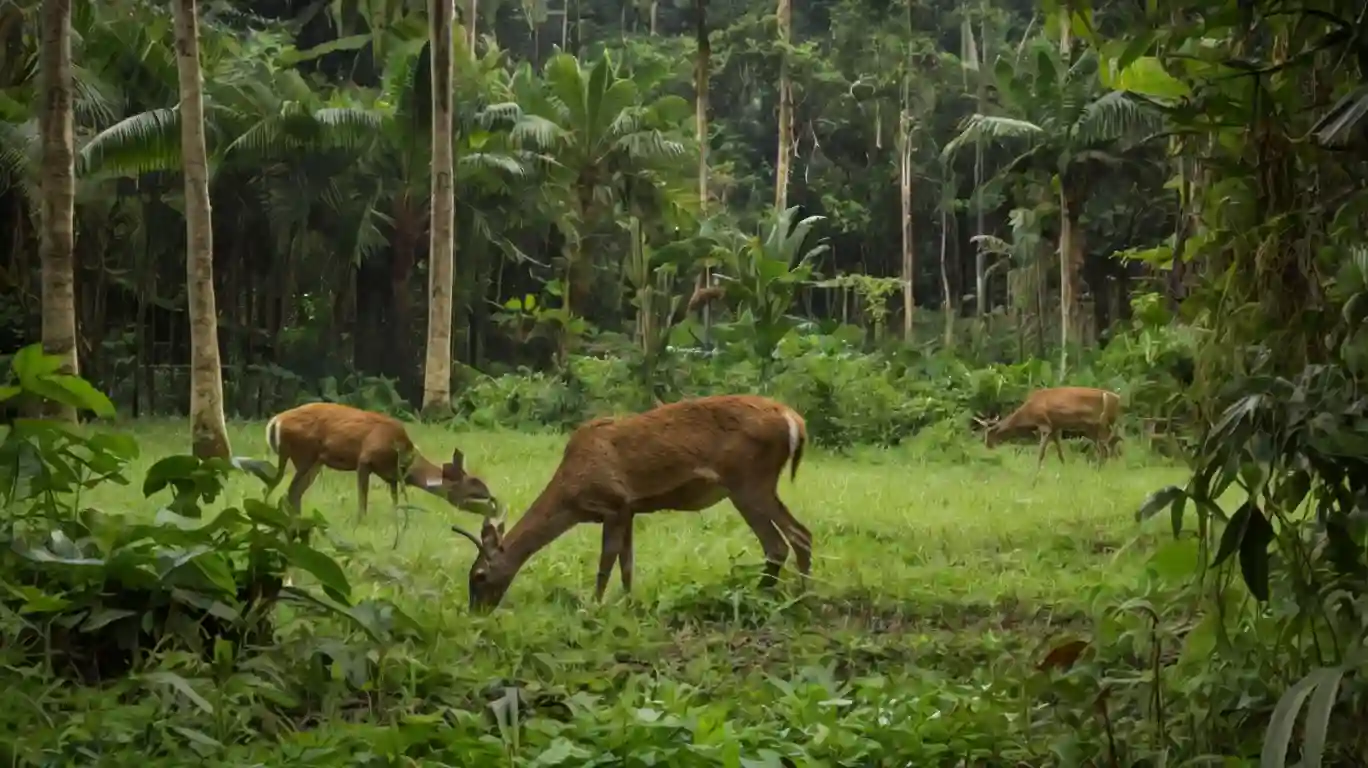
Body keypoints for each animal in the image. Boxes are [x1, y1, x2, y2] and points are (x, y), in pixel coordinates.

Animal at [264, 402, 500, 520]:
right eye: (473, 486)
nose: (495, 506)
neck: (402, 457)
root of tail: (276, 421)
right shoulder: (365, 459)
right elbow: (363, 499)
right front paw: (362, 522)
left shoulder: (392, 477)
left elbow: (395, 502)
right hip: (304, 454)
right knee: (287, 490)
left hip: (313, 462)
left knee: (292, 492)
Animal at [448, 394, 809, 610]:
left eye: (479, 576)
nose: (475, 612)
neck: (571, 497)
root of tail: (795, 420)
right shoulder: (630, 509)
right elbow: (627, 563)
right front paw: (629, 604)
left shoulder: (613, 502)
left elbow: (606, 561)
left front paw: (592, 605)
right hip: (754, 483)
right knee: (793, 536)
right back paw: (798, 594)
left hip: (748, 480)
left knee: (787, 539)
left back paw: (773, 594)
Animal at [979, 386, 1127, 481]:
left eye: (989, 433)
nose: (987, 445)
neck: (1028, 414)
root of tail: (1118, 398)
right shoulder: (1055, 427)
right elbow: (1060, 453)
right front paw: (1065, 469)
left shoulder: (1044, 424)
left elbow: (1041, 453)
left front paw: (1035, 473)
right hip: (1093, 428)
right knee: (1107, 448)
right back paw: (1100, 470)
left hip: (1102, 423)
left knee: (1111, 447)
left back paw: (1111, 471)